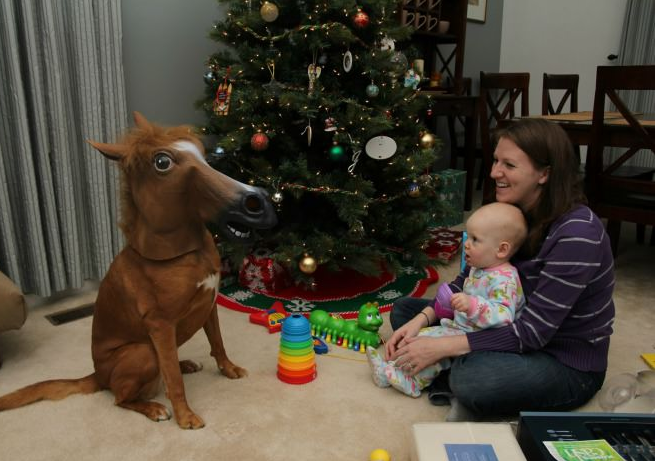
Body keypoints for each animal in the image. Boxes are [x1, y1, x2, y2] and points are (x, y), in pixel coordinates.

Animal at [0, 111, 276, 428]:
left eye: (203, 153)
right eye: (162, 162)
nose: (259, 201)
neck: (185, 254)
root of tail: (98, 375)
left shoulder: (209, 305)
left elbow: (217, 343)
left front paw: (229, 369)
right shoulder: (161, 326)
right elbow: (173, 380)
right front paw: (185, 416)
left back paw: (185, 363)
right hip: (142, 352)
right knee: (123, 397)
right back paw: (154, 408)